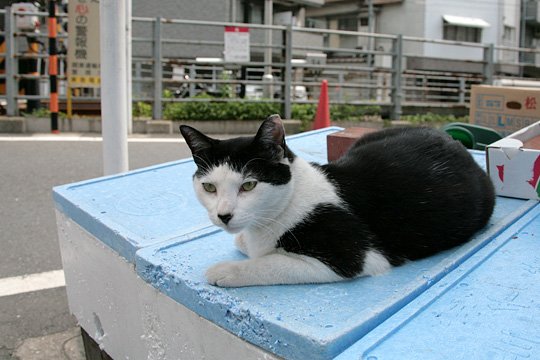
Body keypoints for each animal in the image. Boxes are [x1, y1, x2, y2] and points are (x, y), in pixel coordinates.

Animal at [179, 114, 496, 286]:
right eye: (209, 187)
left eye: (248, 185)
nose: (224, 215)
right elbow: (246, 244)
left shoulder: (355, 257)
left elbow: (271, 262)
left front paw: (227, 270)